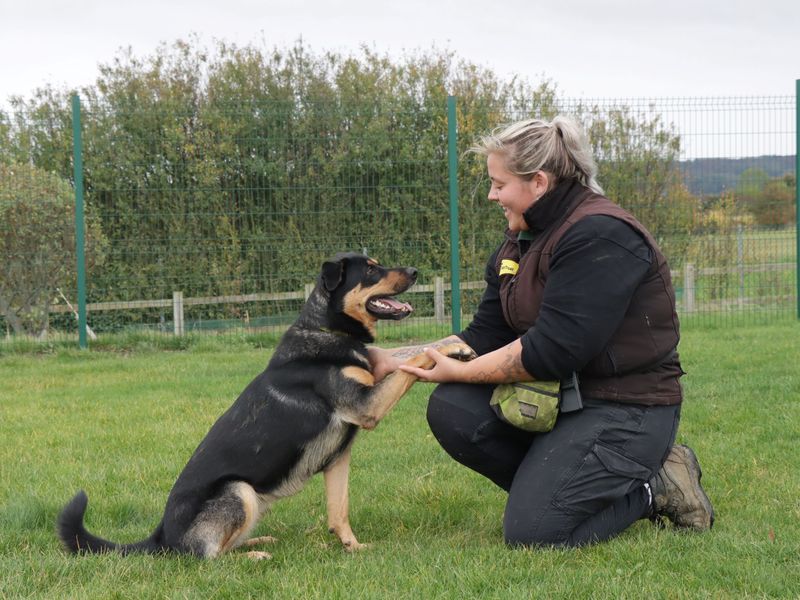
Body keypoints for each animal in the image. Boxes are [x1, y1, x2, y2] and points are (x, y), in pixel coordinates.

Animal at [61, 252, 482, 556]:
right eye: (371, 269)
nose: (415, 270)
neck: (327, 329)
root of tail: (160, 538)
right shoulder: (367, 404)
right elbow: (417, 357)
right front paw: (451, 351)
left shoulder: (352, 425)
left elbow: (339, 510)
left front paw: (353, 547)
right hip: (239, 492)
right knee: (205, 557)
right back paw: (252, 555)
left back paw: (257, 541)